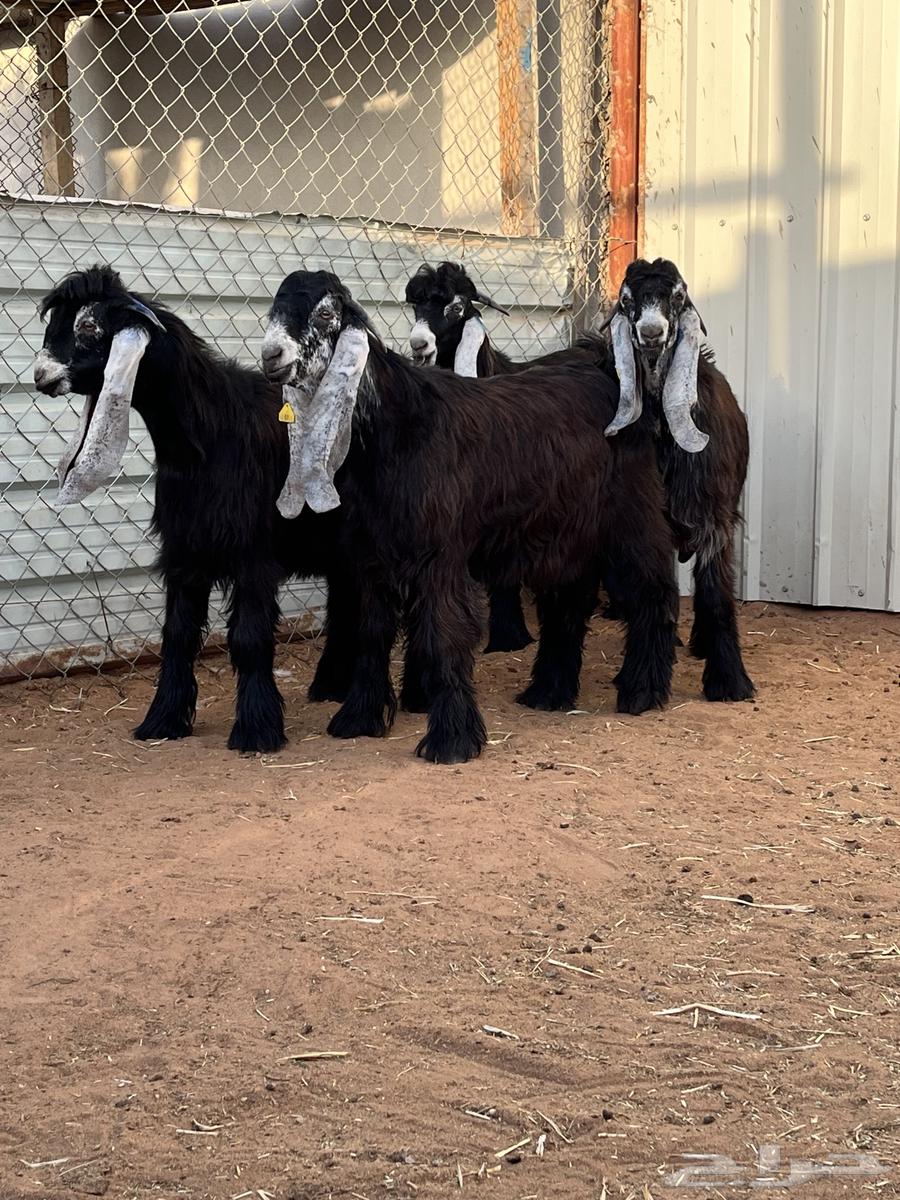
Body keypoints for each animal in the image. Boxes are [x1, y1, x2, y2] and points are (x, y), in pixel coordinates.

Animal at [33, 265, 361, 753]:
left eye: (89, 326)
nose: (42, 375)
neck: (212, 432)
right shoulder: (184, 551)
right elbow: (178, 635)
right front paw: (163, 719)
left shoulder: (253, 555)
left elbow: (249, 639)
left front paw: (257, 729)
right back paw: (331, 686)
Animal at [260, 269, 680, 764]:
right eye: (273, 310)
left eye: (326, 314)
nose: (271, 355)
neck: (397, 429)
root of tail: (609, 377)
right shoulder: (372, 556)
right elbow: (371, 632)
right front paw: (358, 718)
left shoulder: (441, 555)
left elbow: (444, 637)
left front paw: (452, 740)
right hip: (567, 530)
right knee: (568, 598)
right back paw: (549, 692)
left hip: (630, 514)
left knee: (653, 590)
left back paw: (642, 691)